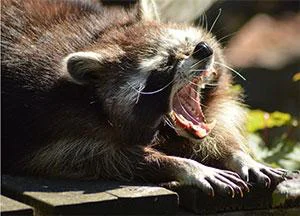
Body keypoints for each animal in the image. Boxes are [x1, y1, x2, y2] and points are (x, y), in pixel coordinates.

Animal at [1, 0, 288, 197]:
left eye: (189, 45)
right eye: (165, 64)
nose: (203, 50)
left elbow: (219, 129)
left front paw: (239, 156)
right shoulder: (50, 119)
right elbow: (91, 156)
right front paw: (183, 165)